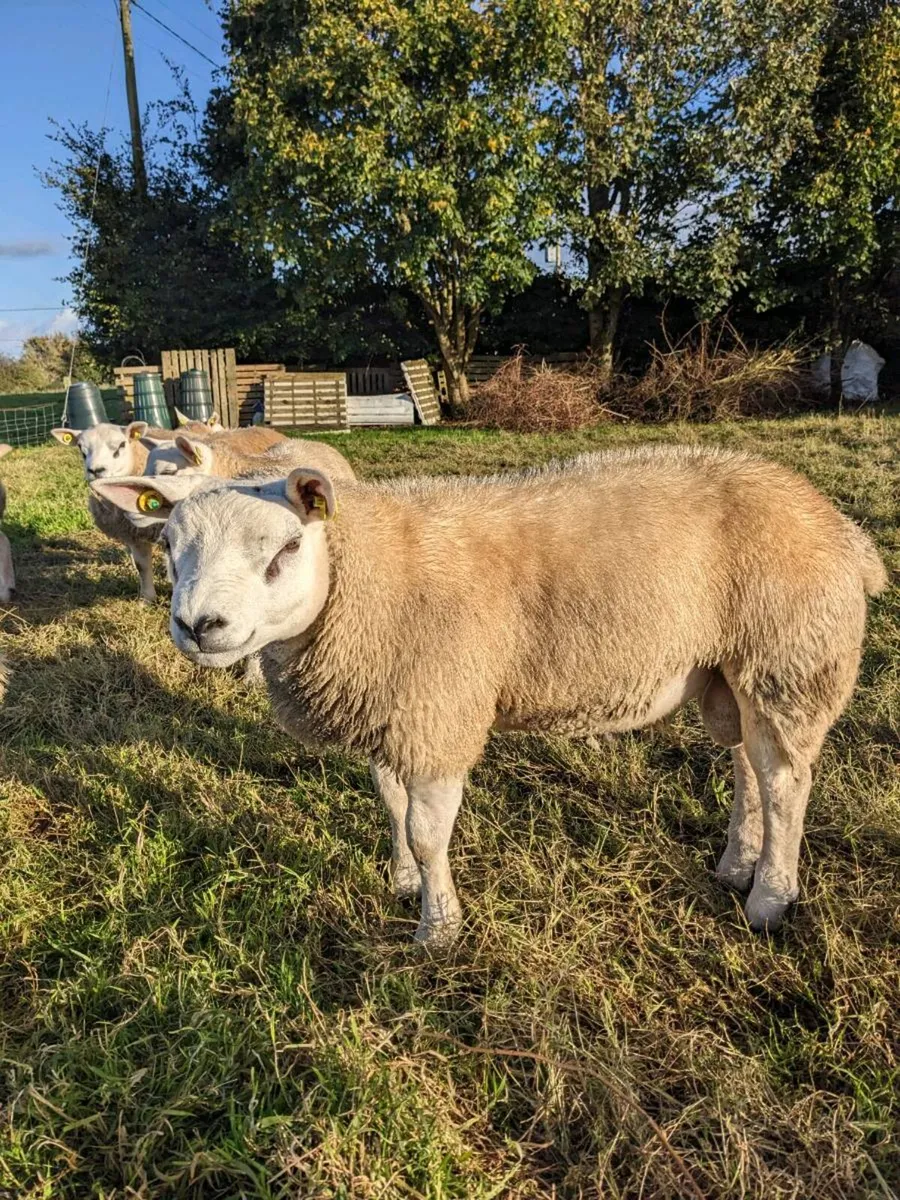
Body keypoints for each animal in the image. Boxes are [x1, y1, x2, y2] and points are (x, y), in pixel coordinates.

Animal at [92, 445, 887, 945]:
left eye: (286, 550)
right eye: (170, 547)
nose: (200, 627)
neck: (369, 575)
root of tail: (845, 531)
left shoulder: (439, 710)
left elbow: (426, 829)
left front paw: (438, 929)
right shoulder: (396, 706)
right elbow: (390, 804)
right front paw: (403, 883)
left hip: (791, 656)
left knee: (785, 781)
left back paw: (769, 899)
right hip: (734, 668)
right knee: (748, 765)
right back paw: (736, 864)